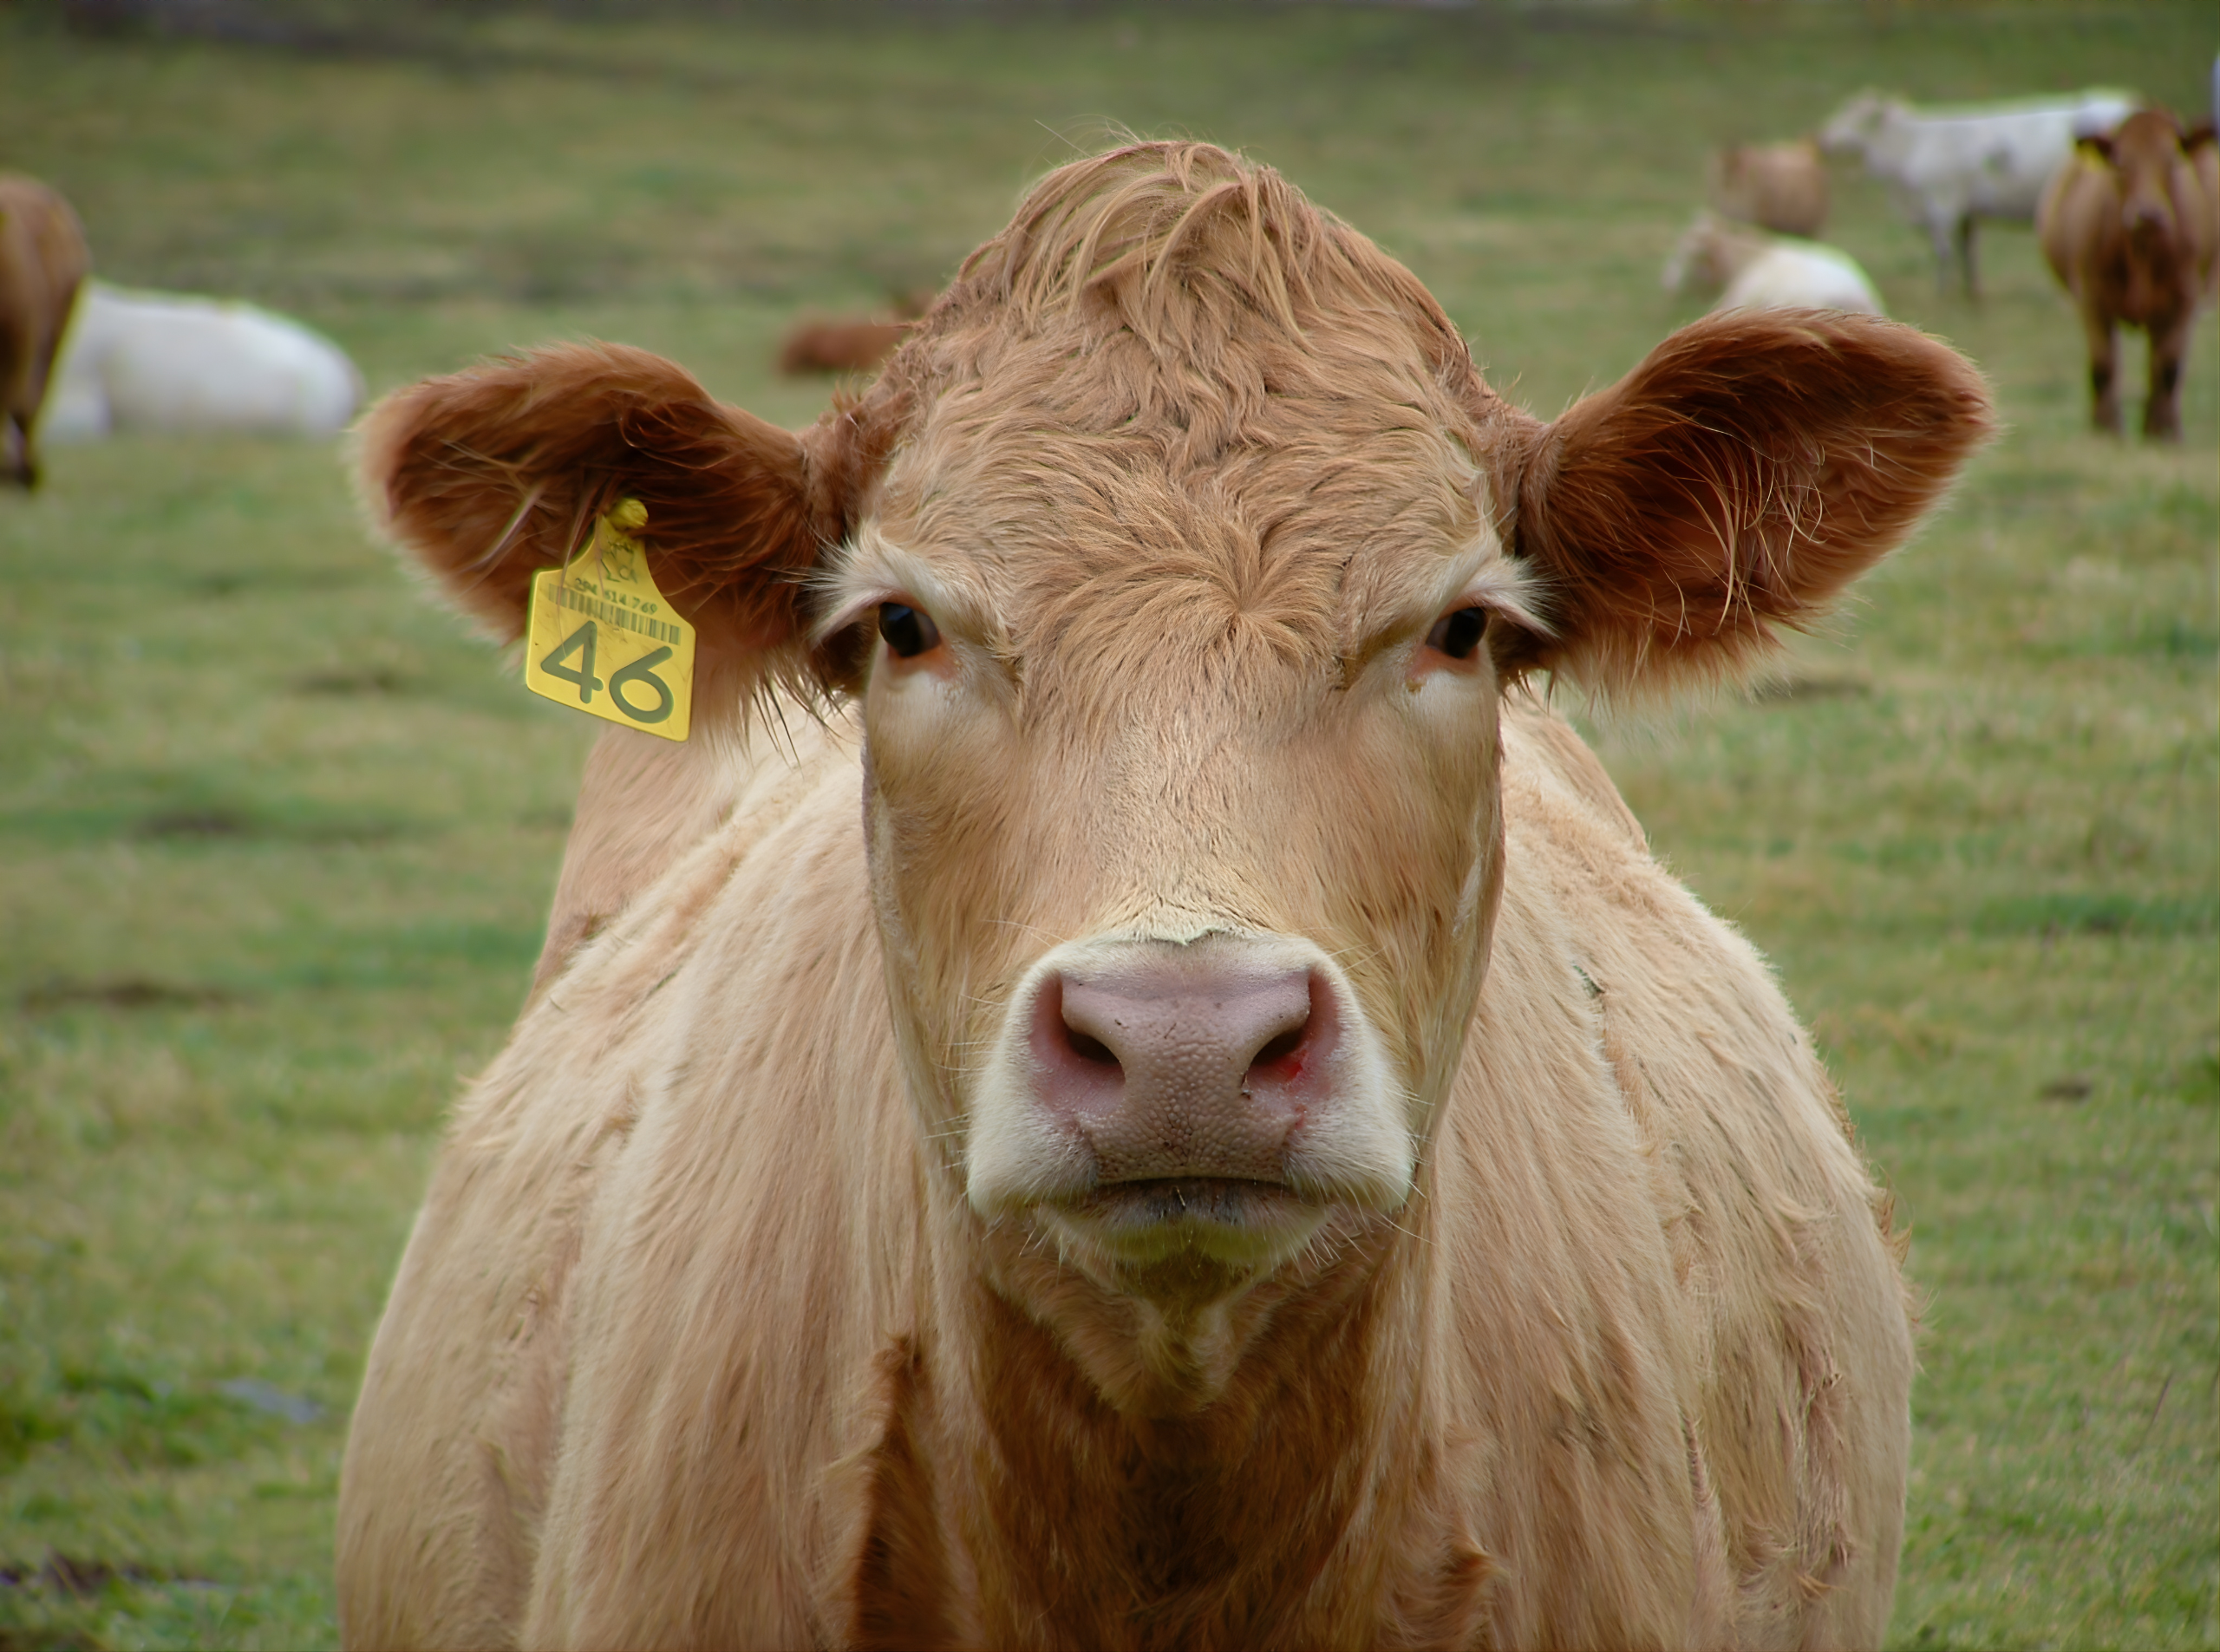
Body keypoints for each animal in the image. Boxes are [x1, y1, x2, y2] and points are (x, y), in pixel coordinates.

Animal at [1821, 88, 2139, 297]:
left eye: (1856, 117)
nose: (1823, 136)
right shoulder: (1965, 212)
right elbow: (1968, 252)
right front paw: (1971, 294)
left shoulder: (1942, 203)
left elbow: (1944, 252)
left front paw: (1941, 294)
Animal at [2038, 108, 2220, 440]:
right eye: (2121, 163)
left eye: (2172, 160)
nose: (2148, 214)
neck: (2142, 252)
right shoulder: (2092, 298)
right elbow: (2104, 365)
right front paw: (2106, 429)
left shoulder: (2185, 300)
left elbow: (2170, 366)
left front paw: (2164, 433)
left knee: (2163, 367)